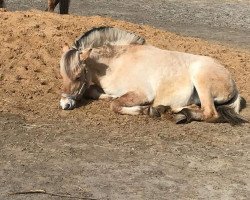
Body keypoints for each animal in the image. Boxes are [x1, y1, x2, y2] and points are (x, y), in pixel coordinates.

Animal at [59, 25, 248, 124]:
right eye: (62, 75)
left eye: (78, 76)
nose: (64, 105)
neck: (117, 63)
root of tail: (233, 83)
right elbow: (94, 92)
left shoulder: (142, 94)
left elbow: (115, 105)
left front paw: (145, 110)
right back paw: (176, 110)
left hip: (201, 78)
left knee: (211, 113)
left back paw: (177, 114)